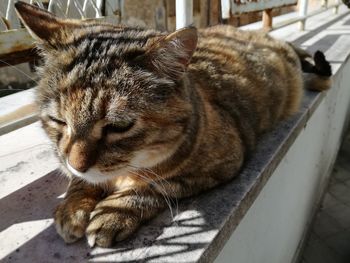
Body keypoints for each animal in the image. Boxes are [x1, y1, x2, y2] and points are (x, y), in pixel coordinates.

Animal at [13, 1, 330, 249]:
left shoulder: (225, 160)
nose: (77, 164)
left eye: (119, 126)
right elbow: (80, 181)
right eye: (58, 121)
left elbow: (156, 185)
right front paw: (73, 205)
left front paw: (113, 212)